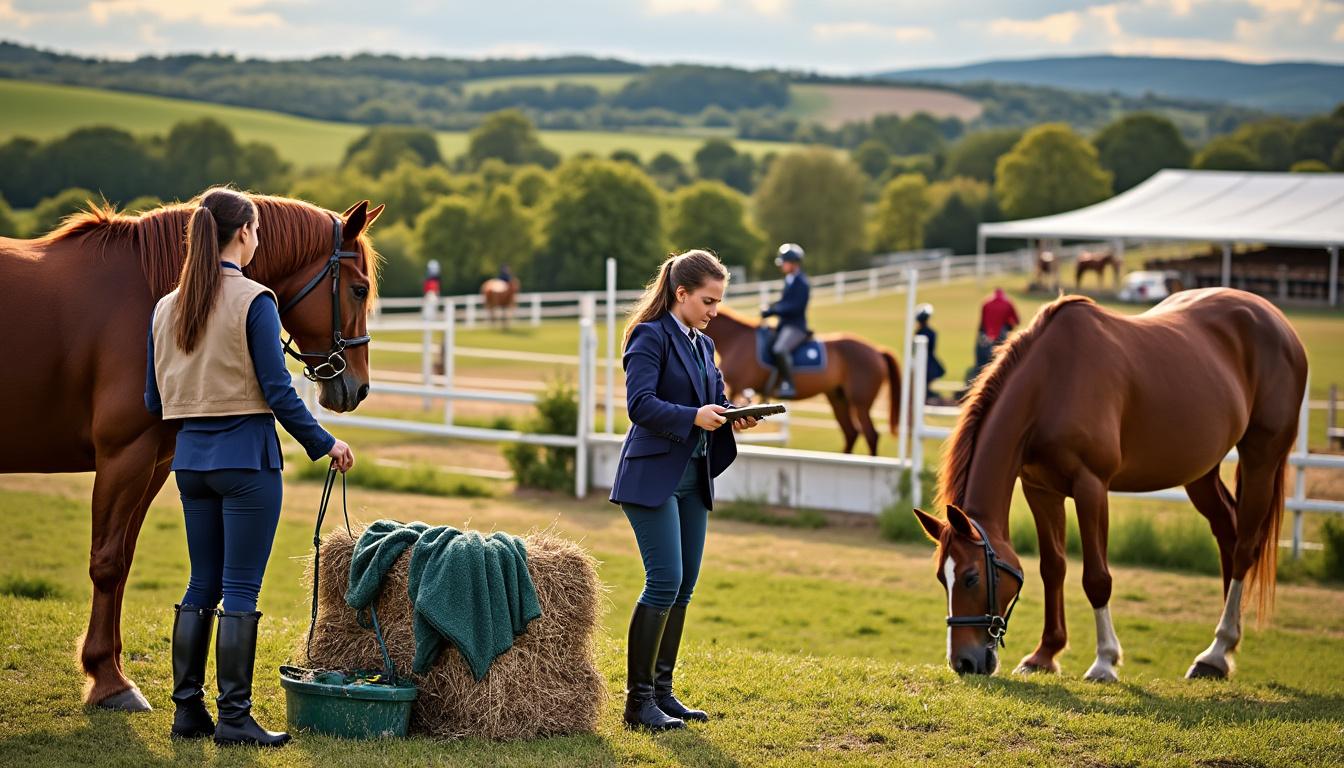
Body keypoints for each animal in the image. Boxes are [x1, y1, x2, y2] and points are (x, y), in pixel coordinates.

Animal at [703, 306, 901, 456]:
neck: (736, 339)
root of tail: (877, 351)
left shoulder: (738, 386)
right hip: (838, 399)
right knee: (851, 433)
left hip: (860, 403)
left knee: (871, 435)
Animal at [912, 289, 1305, 682]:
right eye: (941, 578)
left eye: (971, 577)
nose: (964, 662)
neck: (1051, 383)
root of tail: (1276, 321)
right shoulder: (1040, 490)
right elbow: (1052, 567)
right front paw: (1045, 654)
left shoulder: (1091, 487)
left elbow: (1096, 578)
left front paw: (1104, 660)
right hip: (1201, 471)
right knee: (1228, 532)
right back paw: (1220, 653)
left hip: (1262, 458)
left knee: (1244, 548)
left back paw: (1219, 647)